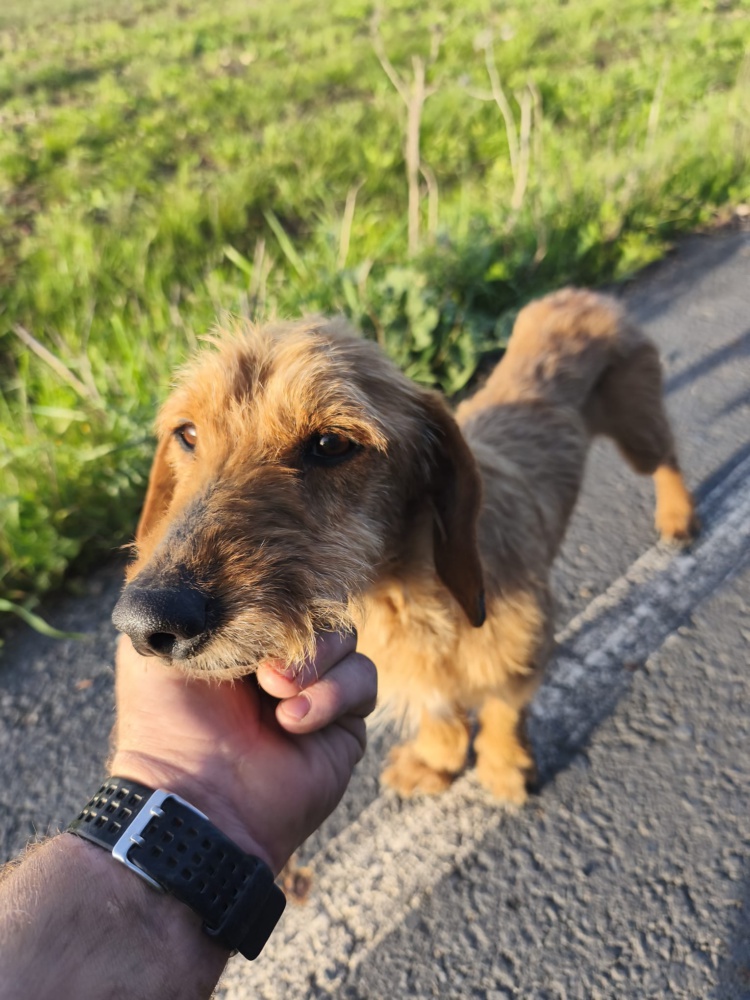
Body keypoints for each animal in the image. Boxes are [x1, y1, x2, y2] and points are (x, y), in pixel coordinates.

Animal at [112, 288, 698, 803]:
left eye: (330, 442)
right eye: (188, 434)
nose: (146, 622)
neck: (406, 593)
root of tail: (579, 295)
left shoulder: (519, 659)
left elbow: (502, 715)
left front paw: (503, 769)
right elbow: (439, 714)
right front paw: (438, 763)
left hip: (638, 429)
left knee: (668, 456)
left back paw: (679, 516)